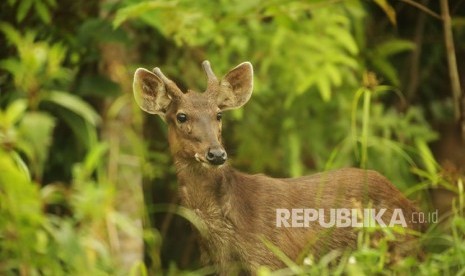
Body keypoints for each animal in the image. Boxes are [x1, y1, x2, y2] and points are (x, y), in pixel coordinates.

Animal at [131, 60, 424, 274]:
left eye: (219, 114)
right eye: (181, 116)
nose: (216, 154)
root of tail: (413, 208)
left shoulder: (272, 259)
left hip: (398, 250)